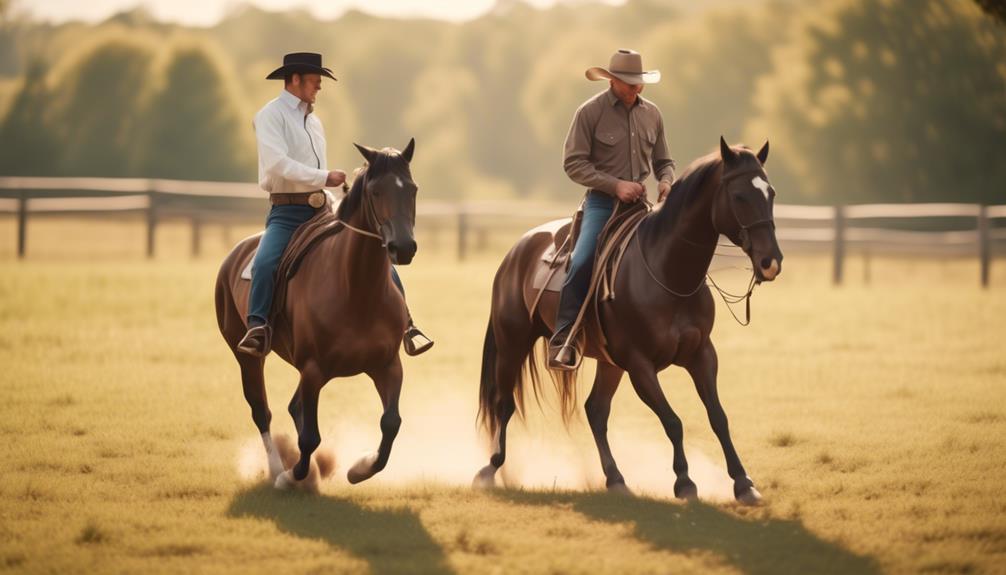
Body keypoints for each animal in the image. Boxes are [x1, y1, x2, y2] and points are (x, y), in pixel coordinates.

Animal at [214, 140, 418, 490]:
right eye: (376, 191)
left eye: (413, 189)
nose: (403, 247)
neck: (357, 291)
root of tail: (236, 253)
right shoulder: (312, 369)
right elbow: (310, 437)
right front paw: (291, 477)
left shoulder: (388, 365)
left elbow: (391, 421)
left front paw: (359, 468)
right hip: (247, 357)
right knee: (262, 410)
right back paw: (275, 469)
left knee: (292, 407)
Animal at [474, 137, 780, 502]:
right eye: (739, 196)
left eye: (770, 193)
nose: (771, 261)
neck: (669, 273)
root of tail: (516, 251)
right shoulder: (640, 365)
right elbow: (673, 421)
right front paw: (685, 482)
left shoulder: (702, 354)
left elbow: (718, 417)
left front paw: (743, 483)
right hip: (513, 343)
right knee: (503, 403)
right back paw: (491, 467)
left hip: (608, 363)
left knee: (595, 410)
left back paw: (615, 478)